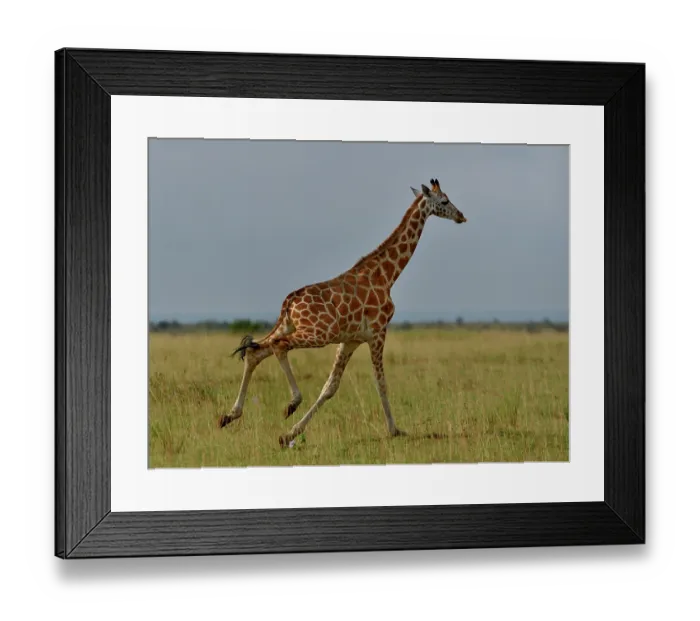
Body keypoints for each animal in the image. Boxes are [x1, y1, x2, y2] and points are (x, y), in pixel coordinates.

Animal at [218, 178, 468, 448]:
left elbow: (331, 386)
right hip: (318, 333)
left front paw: (290, 433)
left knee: (255, 352)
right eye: (445, 201)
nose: (461, 216)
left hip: (292, 326)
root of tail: (289, 302)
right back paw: (292, 402)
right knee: (279, 346)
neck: (387, 276)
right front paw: (395, 430)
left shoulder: (351, 340)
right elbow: (381, 383)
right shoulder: (378, 332)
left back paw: (229, 415)